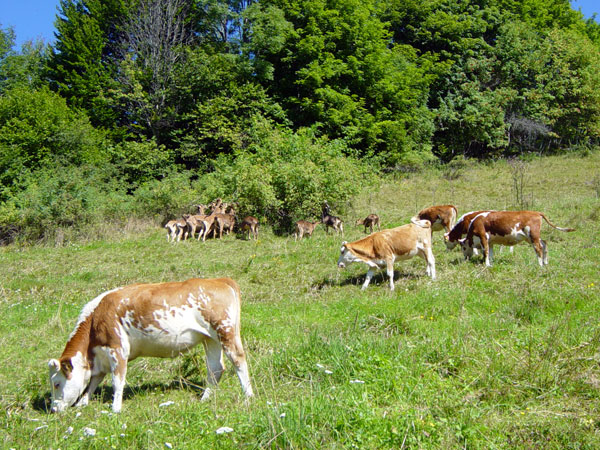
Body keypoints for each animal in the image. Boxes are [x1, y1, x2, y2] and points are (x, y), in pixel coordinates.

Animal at [47, 276, 251, 414]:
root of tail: (219, 280)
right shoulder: (100, 356)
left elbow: (117, 380)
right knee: (215, 369)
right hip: (210, 339)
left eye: (56, 383)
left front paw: (116, 408)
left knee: (238, 360)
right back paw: (205, 398)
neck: (95, 318)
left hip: (225, 331)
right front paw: (83, 402)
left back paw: (248, 396)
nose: (53, 409)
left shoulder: (117, 348)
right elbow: (94, 380)